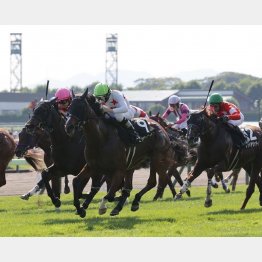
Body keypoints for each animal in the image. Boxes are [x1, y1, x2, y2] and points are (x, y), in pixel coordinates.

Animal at [64, 89, 175, 218]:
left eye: (81, 107)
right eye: (69, 107)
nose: (69, 127)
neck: (101, 138)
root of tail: (161, 128)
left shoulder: (118, 170)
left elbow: (109, 194)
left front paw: (102, 207)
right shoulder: (92, 166)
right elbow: (76, 181)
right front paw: (80, 208)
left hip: (157, 160)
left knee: (154, 181)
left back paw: (134, 202)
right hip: (135, 164)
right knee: (136, 186)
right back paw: (125, 205)